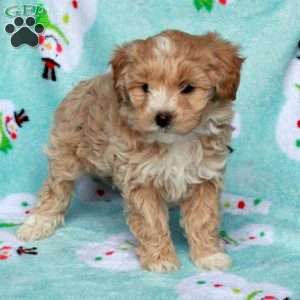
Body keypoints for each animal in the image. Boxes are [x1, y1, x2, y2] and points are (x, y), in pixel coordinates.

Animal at [17, 29, 244, 272]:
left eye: (188, 88)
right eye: (144, 88)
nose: (162, 117)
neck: (176, 142)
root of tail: (83, 84)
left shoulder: (205, 178)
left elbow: (203, 219)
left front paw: (209, 255)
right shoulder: (141, 179)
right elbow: (151, 221)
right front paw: (160, 259)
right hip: (67, 150)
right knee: (56, 188)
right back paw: (38, 222)